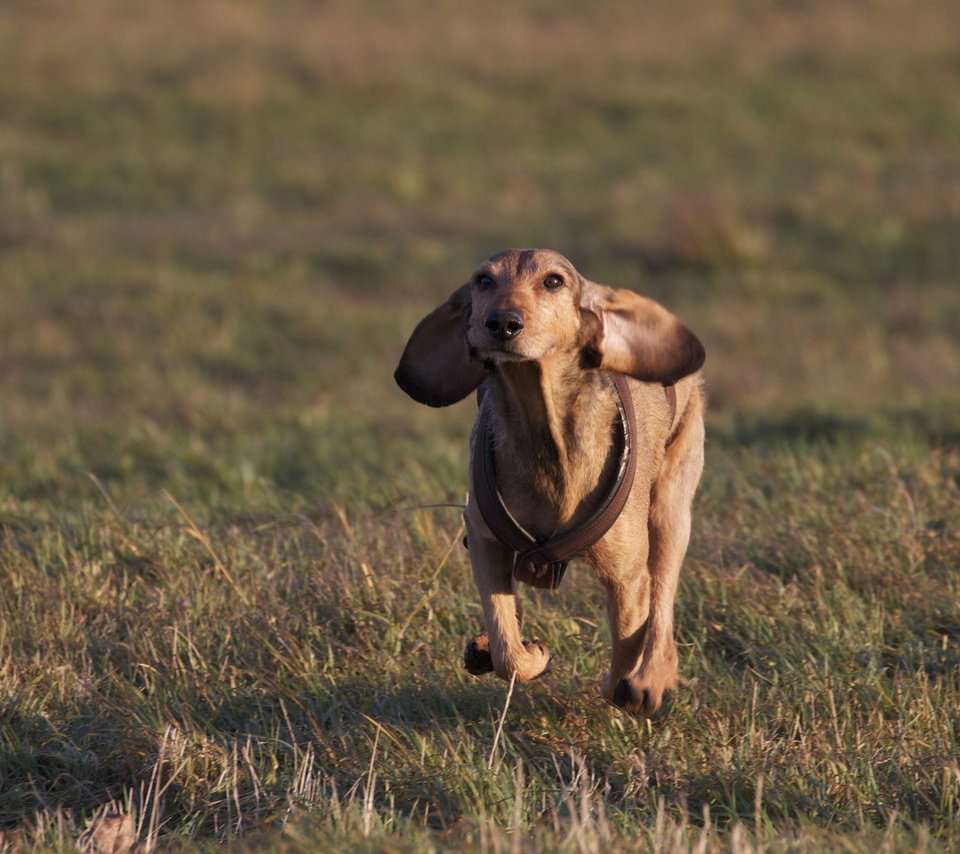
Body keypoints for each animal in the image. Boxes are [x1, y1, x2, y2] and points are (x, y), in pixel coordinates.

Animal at [392, 251, 704, 720]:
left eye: (554, 281)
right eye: (483, 280)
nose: (502, 323)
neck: (544, 427)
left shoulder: (627, 578)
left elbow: (626, 650)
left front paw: (625, 685)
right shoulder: (483, 539)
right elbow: (506, 643)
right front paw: (526, 653)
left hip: (670, 510)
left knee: (663, 602)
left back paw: (652, 679)